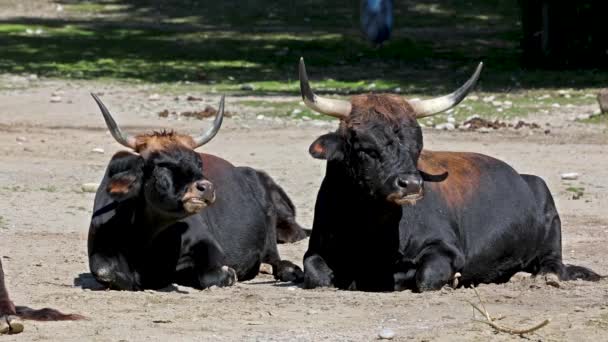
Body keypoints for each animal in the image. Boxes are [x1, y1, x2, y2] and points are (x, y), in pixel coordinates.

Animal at [88, 95, 306, 290]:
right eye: (160, 165)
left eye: (198, 162)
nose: (206, 187)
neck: (146, 239)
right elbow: (105, 272)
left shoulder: (209, 246)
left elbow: (209, 275)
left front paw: (229, 274)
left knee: (276, 260)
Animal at [296, 58, 600, 292]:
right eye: (366, 147)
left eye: (417, 146)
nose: (411, 184)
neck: (369, 230)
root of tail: (525, 177)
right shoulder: (315, 251)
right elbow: (317, 274)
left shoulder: (446, 249)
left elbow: (425, 277)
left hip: (548, 213)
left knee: (552, 262)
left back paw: (543, 276)